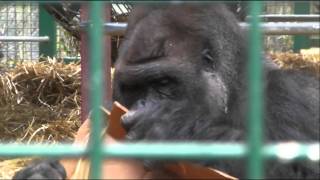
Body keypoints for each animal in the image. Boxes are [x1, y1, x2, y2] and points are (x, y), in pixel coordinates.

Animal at [13, 2, 320, 179]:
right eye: (134, 88)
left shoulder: (294, 99)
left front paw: (178, 134)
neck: (234, 91)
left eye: (163, 84)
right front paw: (39, 174)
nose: (142, 106)